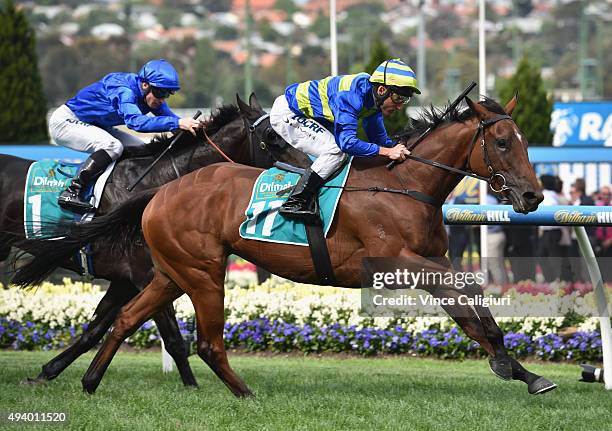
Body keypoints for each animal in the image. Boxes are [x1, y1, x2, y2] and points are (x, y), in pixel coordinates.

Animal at [0, 95, 284, 388]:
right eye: (272, 135)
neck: (161, 183)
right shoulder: (146, 274)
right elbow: (173, 339)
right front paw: (192, 386)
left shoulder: (125, 281)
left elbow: (94, 330)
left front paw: (47, 372)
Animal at [33, 96, 556, 396]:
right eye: (504, 143)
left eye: (523, 141)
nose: (533, 196)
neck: (405, 184)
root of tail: (161, 190)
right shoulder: (401, 262)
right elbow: (466, 308)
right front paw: (509, 364)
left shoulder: (435, 258)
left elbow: (473, 307)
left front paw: (520, 370)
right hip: (203, 272)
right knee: (206, 342)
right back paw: (246, 394)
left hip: (171, 271)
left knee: (123, 319)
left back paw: (86, 381)